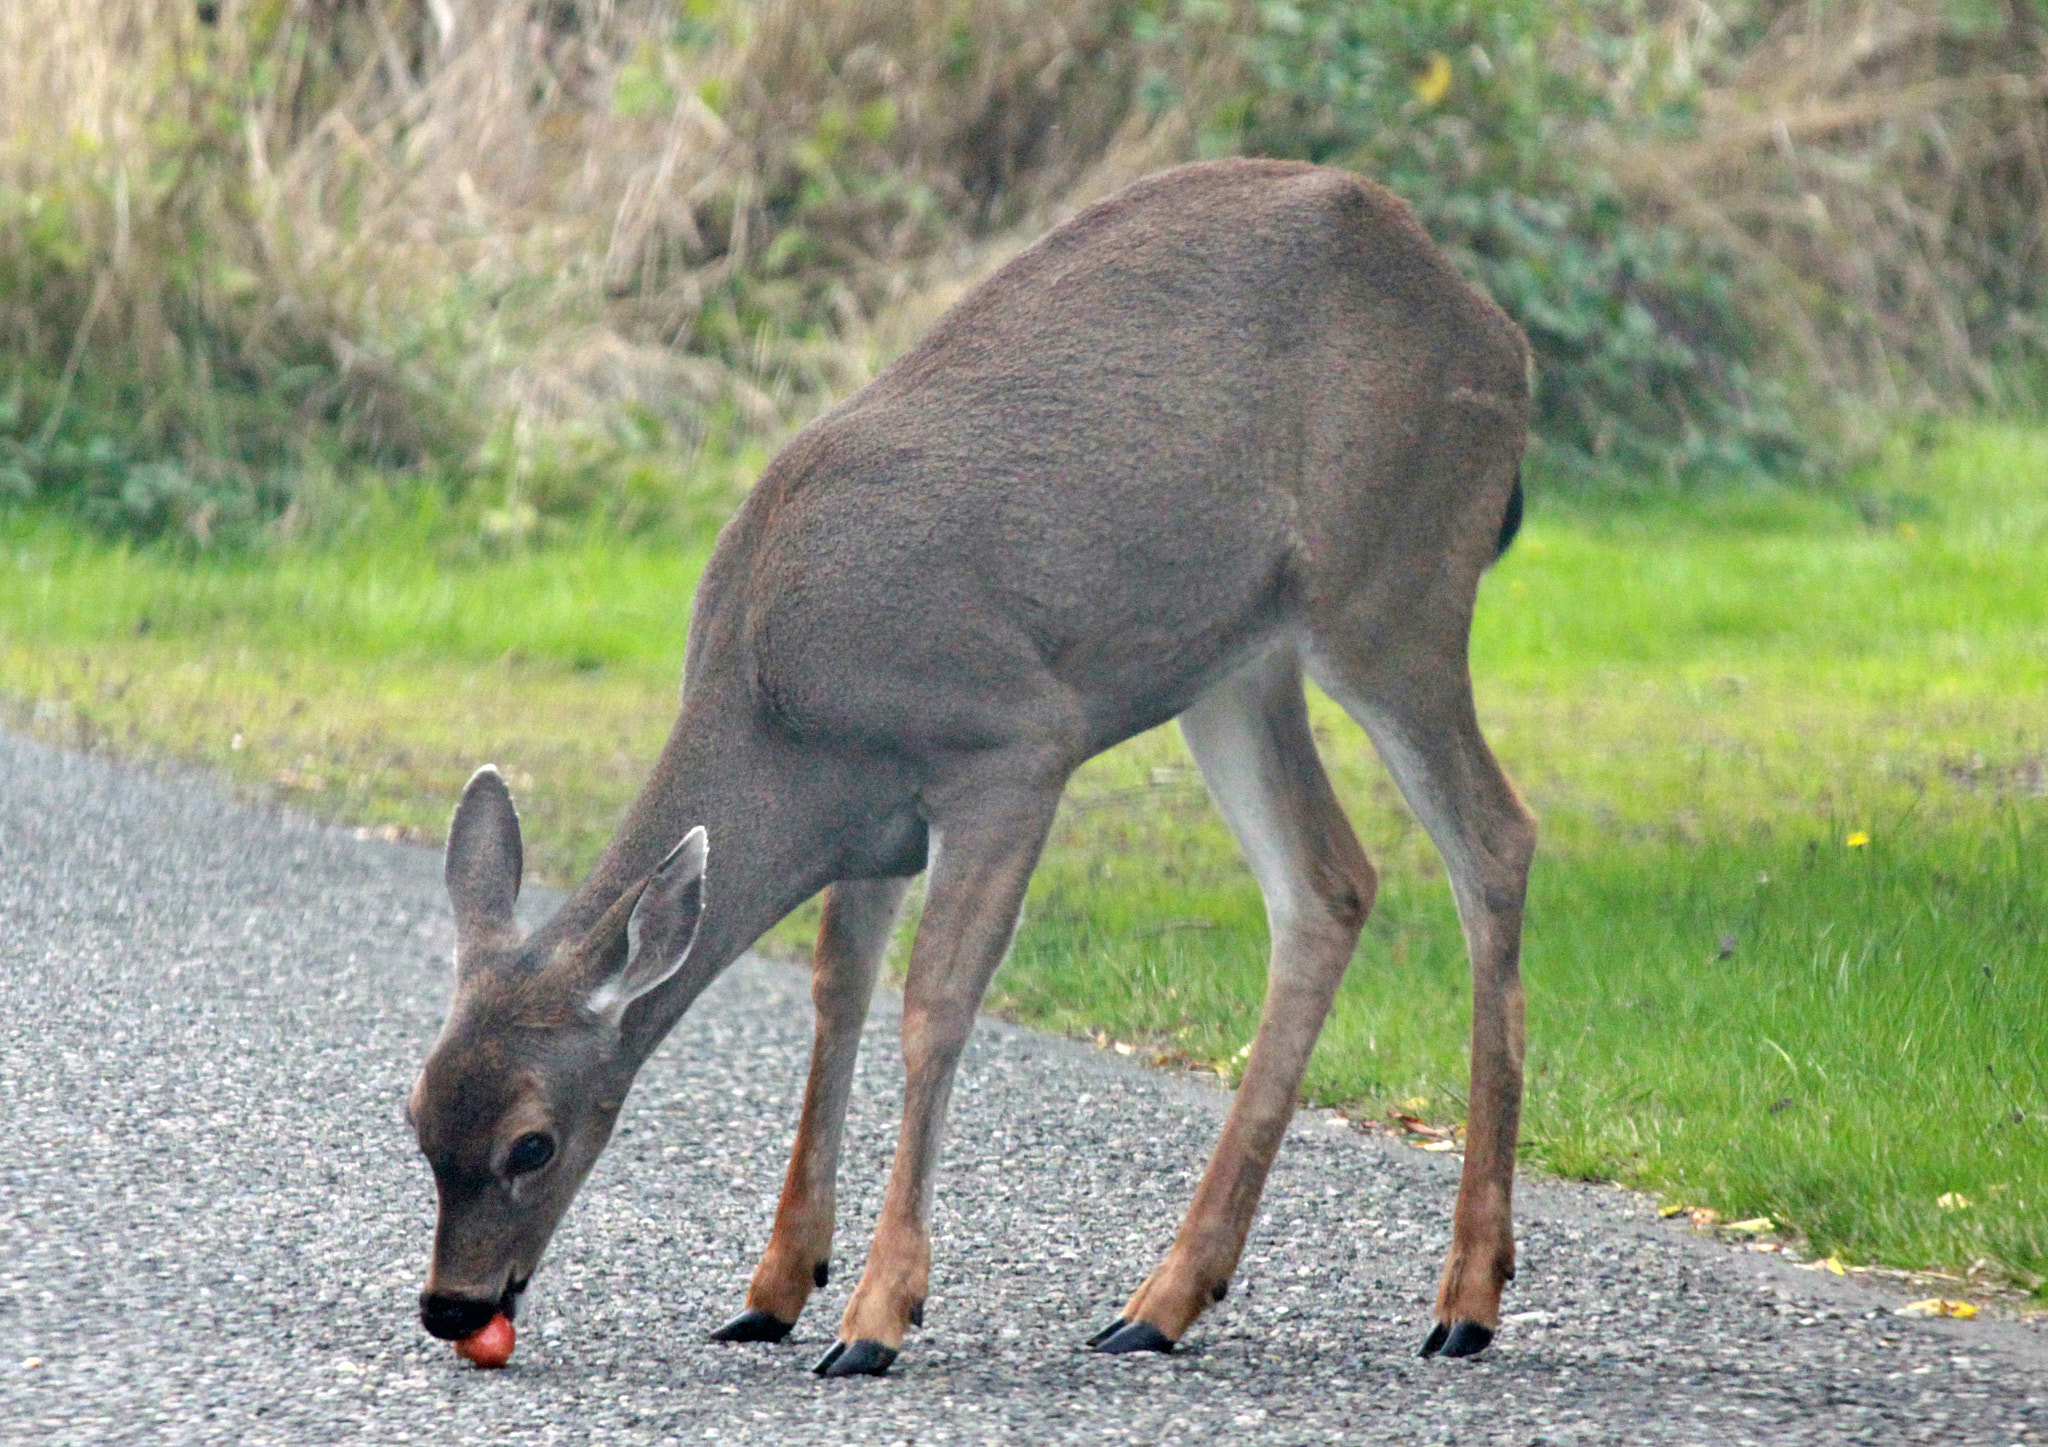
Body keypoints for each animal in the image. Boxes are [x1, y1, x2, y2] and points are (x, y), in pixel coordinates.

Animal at [408, 156, 1536, 1376]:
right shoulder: (872, 828)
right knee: (1329, 883)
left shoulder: (1008, 743)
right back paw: (1164, 1299)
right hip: (1239, 666)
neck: (778, 704)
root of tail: (1498, 335)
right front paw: (775, 1286)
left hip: (1393, 583)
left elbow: (935, 999)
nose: (452, 1306)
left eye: (531, 1143)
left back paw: (1466, 1296)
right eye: (416, 1117)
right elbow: (836, 994)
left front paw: (876, 1313)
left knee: (1494, 838)